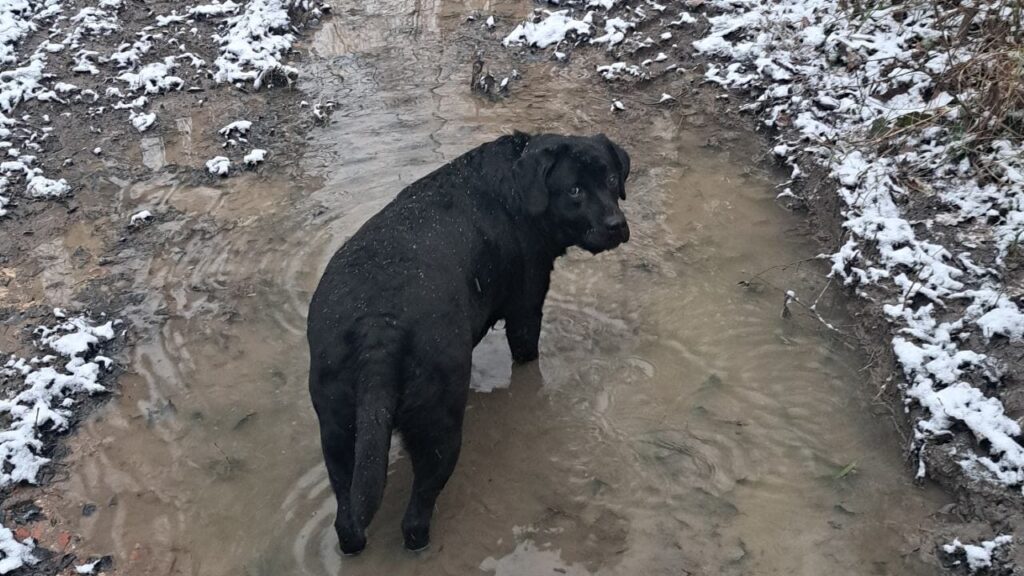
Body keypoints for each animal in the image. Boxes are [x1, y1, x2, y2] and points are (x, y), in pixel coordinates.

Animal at [303, 130, 626, 553]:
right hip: (439, 426)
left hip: (339, 429)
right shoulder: (526, 310)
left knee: (348, 518)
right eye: (574, 190)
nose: (617, 224)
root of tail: (379, 329)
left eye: (611, 180)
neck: (518, 185)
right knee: (416, 516)